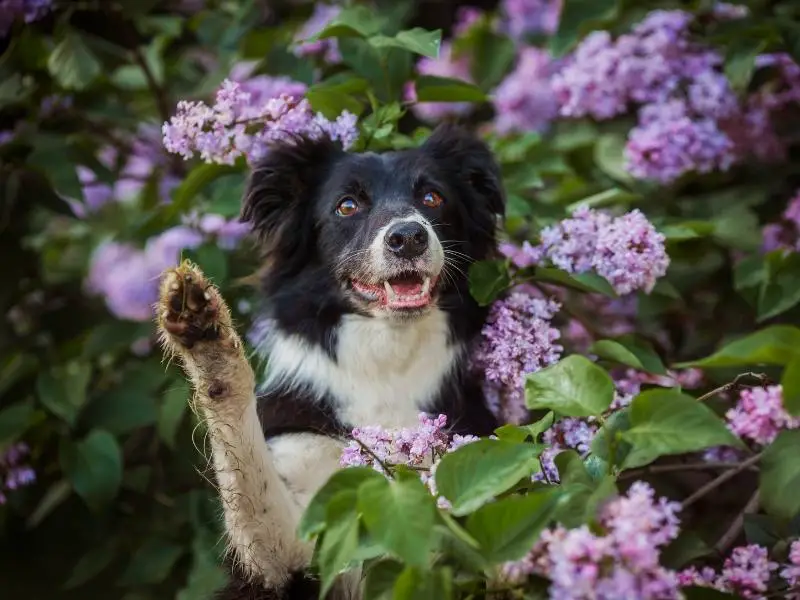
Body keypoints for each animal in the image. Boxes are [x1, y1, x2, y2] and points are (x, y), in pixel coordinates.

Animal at [155, 123, 504, 600]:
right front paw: (209, 344)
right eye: (347, 205)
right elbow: (251, 482)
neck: (387, 366)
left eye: (433, 197)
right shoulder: (294, 544)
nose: (408, 237)